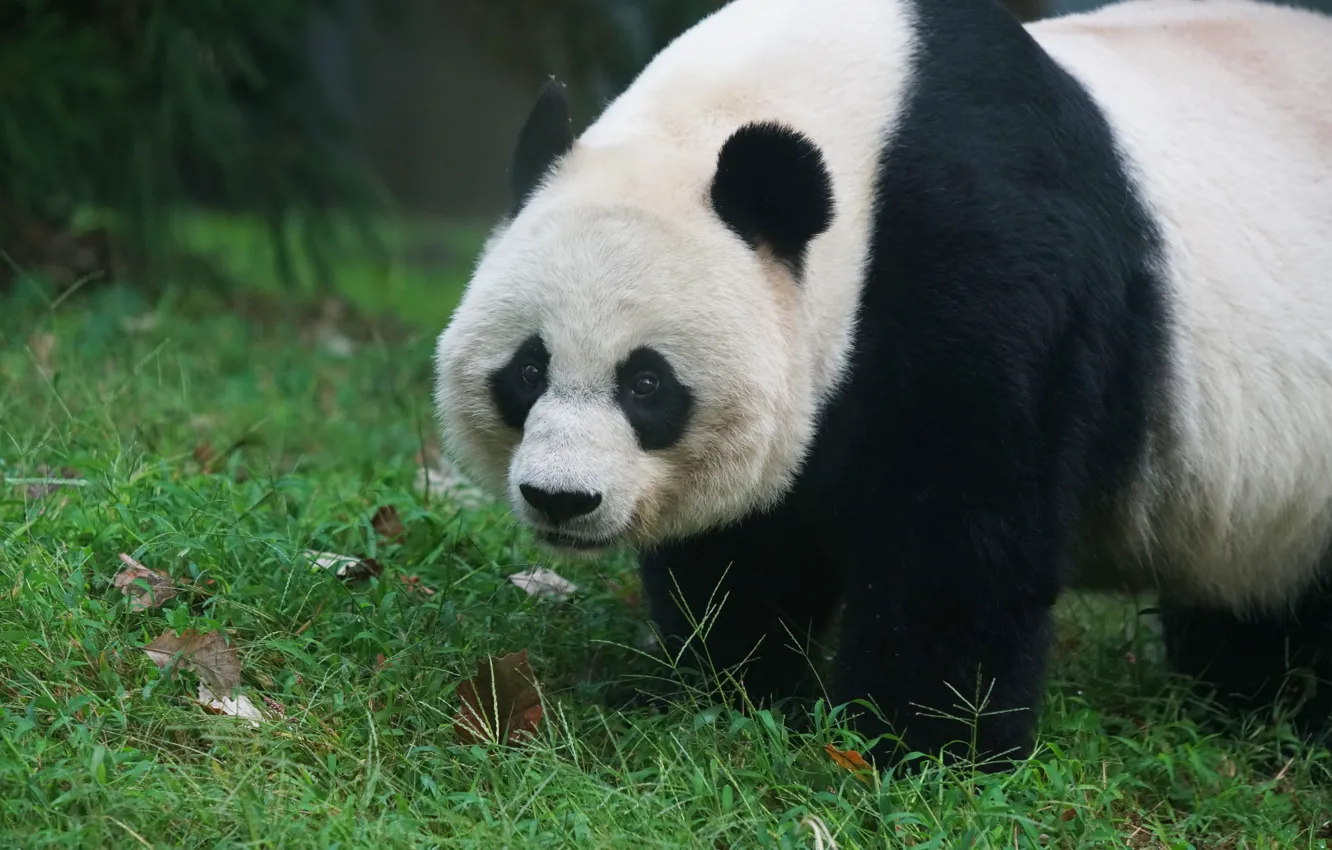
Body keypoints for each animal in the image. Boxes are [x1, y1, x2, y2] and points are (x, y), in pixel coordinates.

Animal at [434, 0, 1332, 768]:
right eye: (528, 368)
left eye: (647, 384)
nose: (561, 499)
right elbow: (745, 545)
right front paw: (728, 686)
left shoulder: (993, 260)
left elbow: (964, 527)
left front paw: (920, 742)